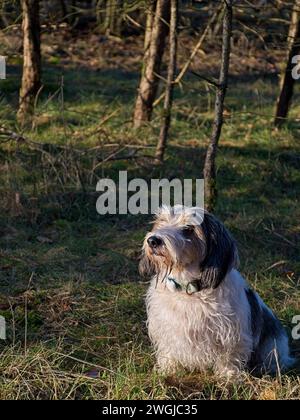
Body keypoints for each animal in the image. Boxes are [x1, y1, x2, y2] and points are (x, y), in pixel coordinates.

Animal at [141, 206, 296, 378]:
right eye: (161, 221)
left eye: (188, 229)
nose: (153, 240)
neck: (188, 289)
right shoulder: (165, 328)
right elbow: (168, 350)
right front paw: (168, 369)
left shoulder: (232, 335)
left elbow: (229, 357)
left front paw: (229, 376)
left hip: (272, 345)